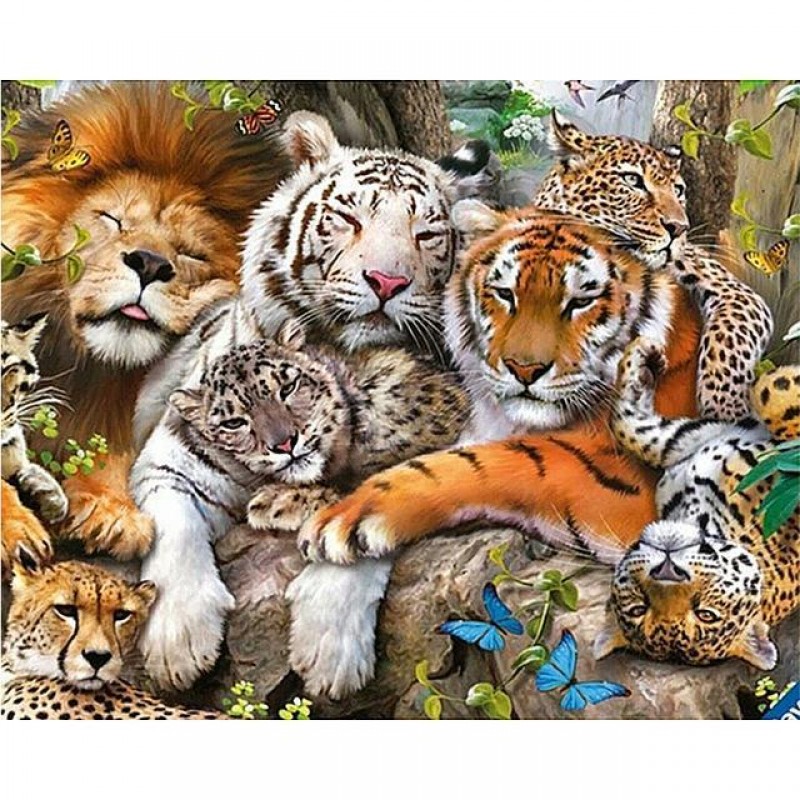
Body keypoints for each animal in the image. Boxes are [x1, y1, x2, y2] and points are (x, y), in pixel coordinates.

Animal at [1, 82, 290, 560]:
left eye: (192, 252)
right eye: (112, 219)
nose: (150, 263)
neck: (88, 367)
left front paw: (110, 509)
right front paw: (17, 528)